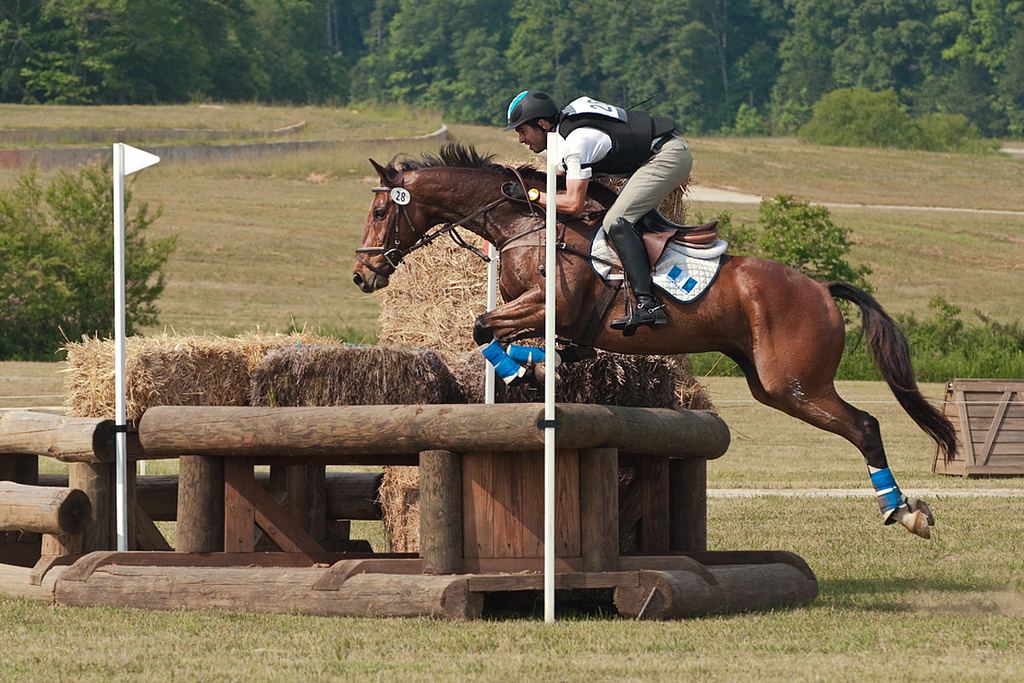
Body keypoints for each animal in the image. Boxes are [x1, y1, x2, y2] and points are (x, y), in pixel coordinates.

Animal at [354, 145, 958, 540]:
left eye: (381, 211)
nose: (363, 276)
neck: (526, 225)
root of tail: (819, 287)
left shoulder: (552, 305)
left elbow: (483, 327)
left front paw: (520, 371)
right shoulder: (537, 314)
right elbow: (498, 331)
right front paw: (539, 365)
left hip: (795, 384)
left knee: (866, 426)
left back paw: (904, 512)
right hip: (770, 384)